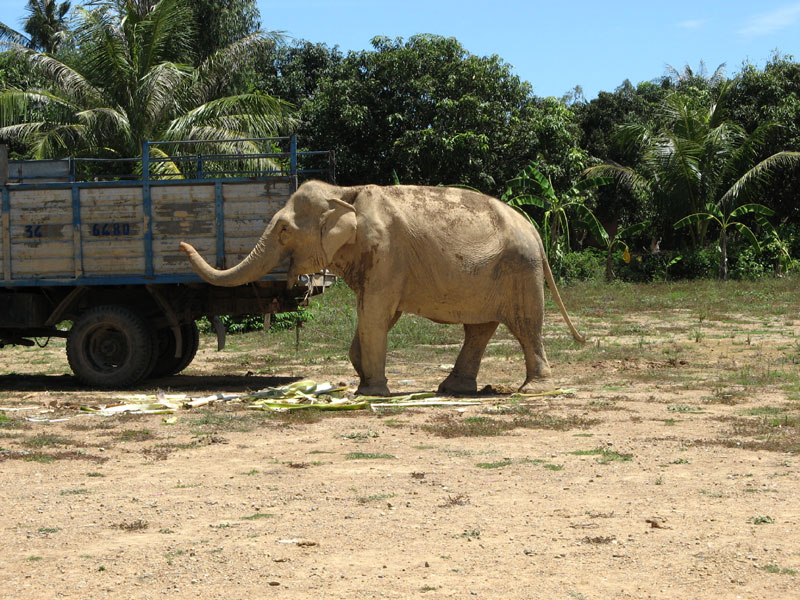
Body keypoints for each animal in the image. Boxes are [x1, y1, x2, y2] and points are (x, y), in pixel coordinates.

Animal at [180, 180, 584, 396]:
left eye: (283, 230)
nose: (182, 245)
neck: (343, 191)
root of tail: (535, 229)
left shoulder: (386, 253)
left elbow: (375, 313)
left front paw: (369, 392)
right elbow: (377, 316)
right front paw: (364, 378)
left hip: (520, 269)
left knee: (525, 325)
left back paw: (532, 390)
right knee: (480, 329)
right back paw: (452, 389)